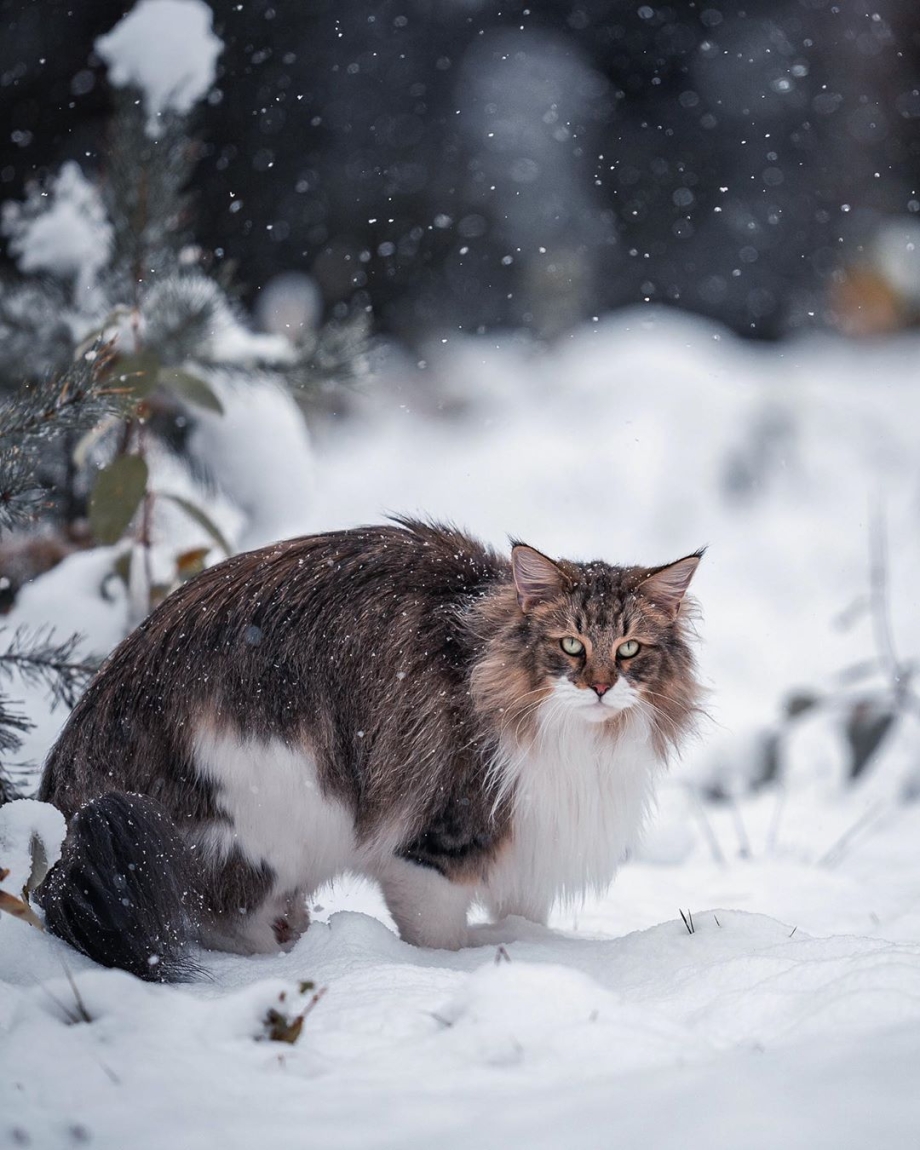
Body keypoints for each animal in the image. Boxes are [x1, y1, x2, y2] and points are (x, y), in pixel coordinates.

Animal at [34, 522, 699, 979]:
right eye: (570, 645)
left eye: (630, 649)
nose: (600, 686)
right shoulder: (434, 846)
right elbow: (438, 936)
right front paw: (458, 969)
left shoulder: (529, 846)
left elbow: (523, 917)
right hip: (271, 813)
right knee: (221, 918)